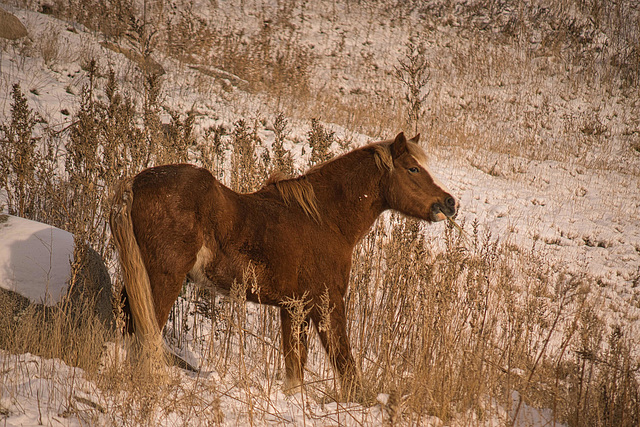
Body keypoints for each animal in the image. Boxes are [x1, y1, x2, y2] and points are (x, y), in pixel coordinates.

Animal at [111, 133, 460, 398]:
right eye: (413, 169)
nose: (449, 203)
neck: (323, 219)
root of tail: (134, 184)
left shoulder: (294, 308)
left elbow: (295, 367)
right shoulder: (326, 303)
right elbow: (344, 361)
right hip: (164, 279)